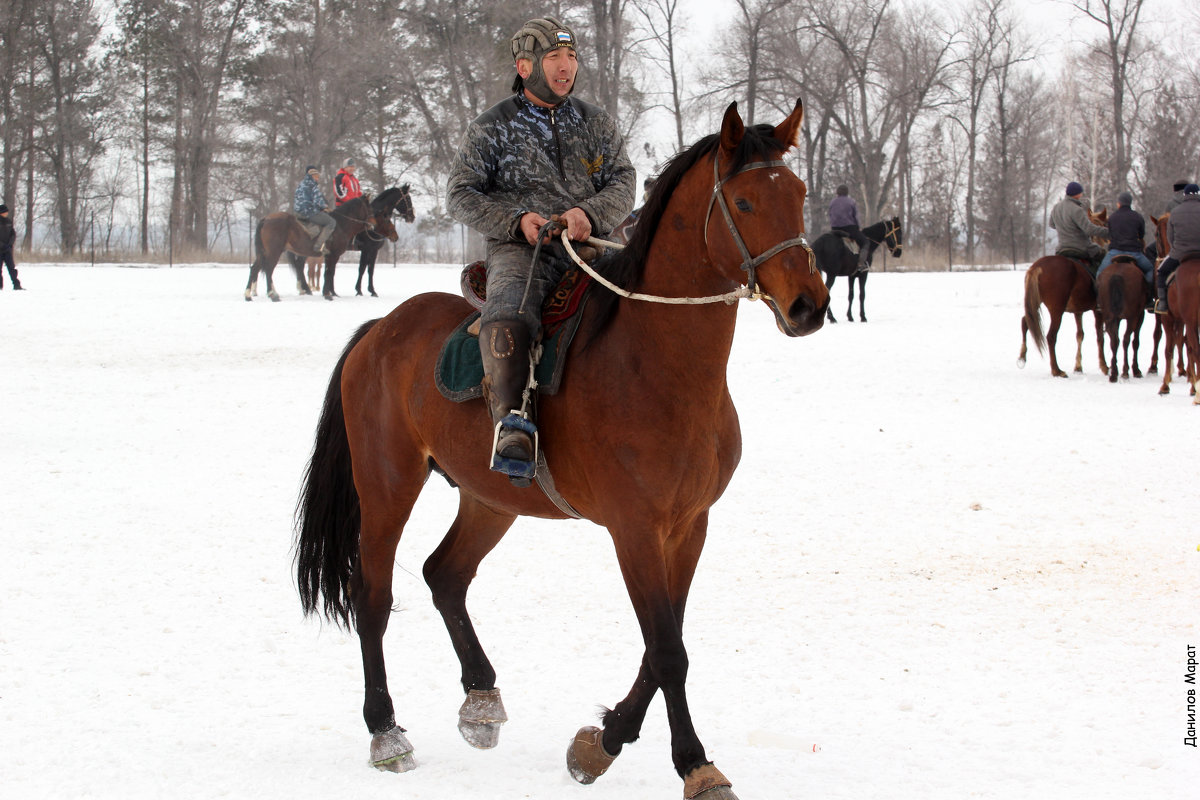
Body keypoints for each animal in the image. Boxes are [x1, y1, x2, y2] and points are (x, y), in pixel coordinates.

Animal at [242, 196, 374, 303]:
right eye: (369, 208)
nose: (373, 225)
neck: (341, 225)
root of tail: (266, 219)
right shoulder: (333, 255)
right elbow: (329, 273)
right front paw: (328, 294)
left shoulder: (328, 256)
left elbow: (327, 273)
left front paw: (327, 292)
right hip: (274, 252)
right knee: (269, 270)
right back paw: (273, 295)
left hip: (263, 253)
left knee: (254, 269)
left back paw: (248, 295)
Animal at [295, 100, 830, 800]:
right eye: (742, 201)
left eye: (797, 194)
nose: (810, 305)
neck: (656, 365)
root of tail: (379, 331)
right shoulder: (634, 529)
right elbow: (667, 650)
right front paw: (693, 763)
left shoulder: (689, 526)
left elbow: (664, 642)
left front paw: (600, 744)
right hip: (388, 485)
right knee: (373, 596)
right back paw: (385, 731)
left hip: (490, 499)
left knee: (445, 575)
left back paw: (481, 702)